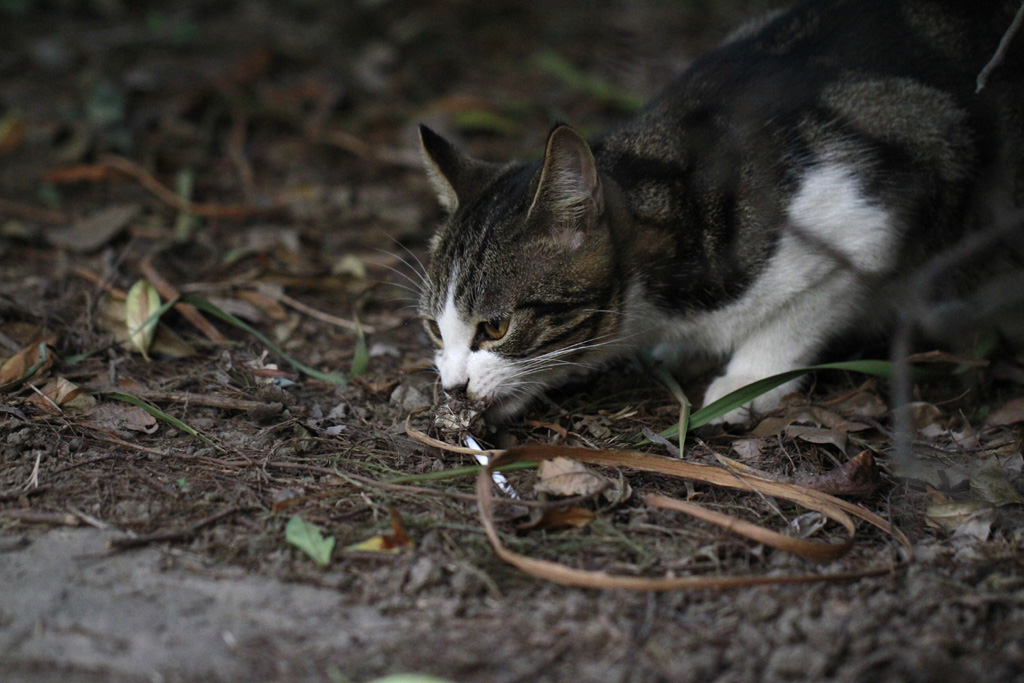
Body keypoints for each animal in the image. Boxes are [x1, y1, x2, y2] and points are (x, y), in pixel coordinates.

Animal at [415, 0, 1024, 423]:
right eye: (433, 329)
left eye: (495, 327)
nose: (453, 387)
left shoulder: (865, 220)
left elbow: (800, 315)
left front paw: (748, 380)